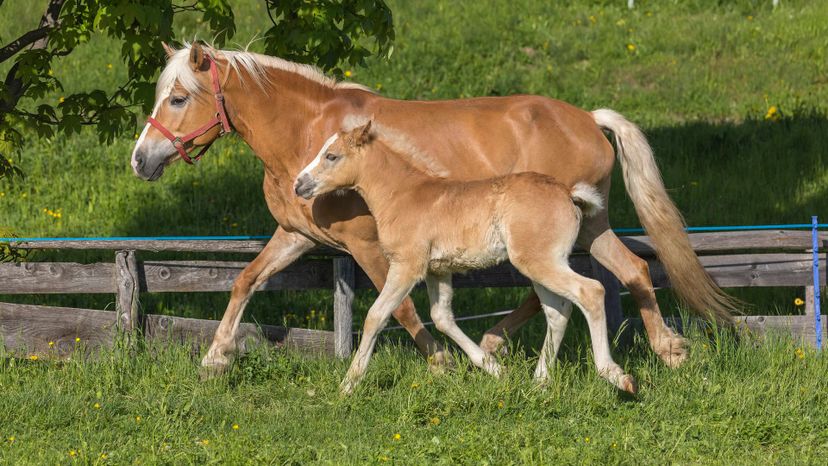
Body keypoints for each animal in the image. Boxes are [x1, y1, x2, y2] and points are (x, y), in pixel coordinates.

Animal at [294, 122, 636, 396]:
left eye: (331, 156)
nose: (299, 184)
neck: (403, 195)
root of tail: (568, 194)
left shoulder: (407, 266)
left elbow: (376, 316)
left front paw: (348, 385)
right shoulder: (438, 271)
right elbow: (442, 317)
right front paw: (494, 368)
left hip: (540, 262)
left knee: (590, 292)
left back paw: (615, 375)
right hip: (542, 264)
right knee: (557, 311)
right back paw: (539, 382)